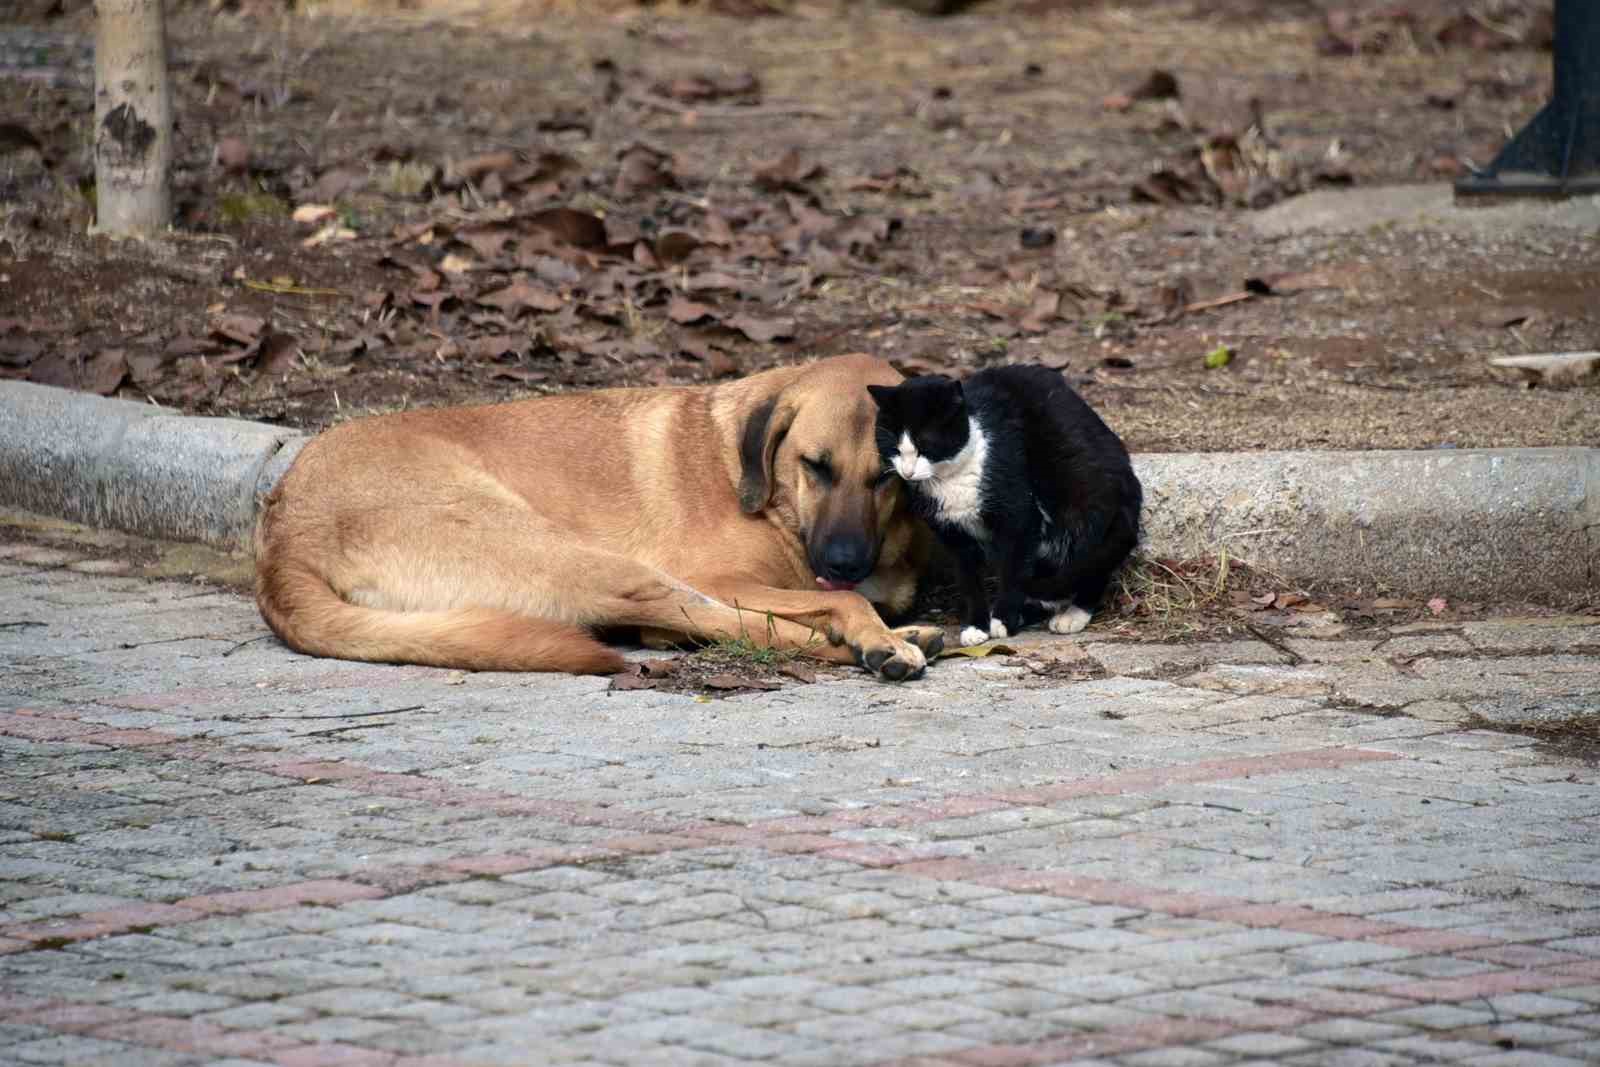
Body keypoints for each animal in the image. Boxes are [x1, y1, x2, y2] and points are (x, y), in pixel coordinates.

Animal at [256, 355, 940, 681]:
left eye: (888, 476)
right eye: (815, 466)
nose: (844, 562)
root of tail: (281, 538)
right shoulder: (722, 579)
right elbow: (829, 603)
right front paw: (871, 631)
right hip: (598, 563)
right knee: (732, 626)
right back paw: (873, 644)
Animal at [870, 367, 1145, 646]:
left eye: (925, 444)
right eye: (893, 446)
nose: (907, 472)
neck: (951, 478)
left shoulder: (1020, 519)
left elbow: (1013, 571)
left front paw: (1003, 620)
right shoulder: (954, 535)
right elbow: (969, 580)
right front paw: (976, 626)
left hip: (1082, 501)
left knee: (1090, 563)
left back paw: (1073, 614)